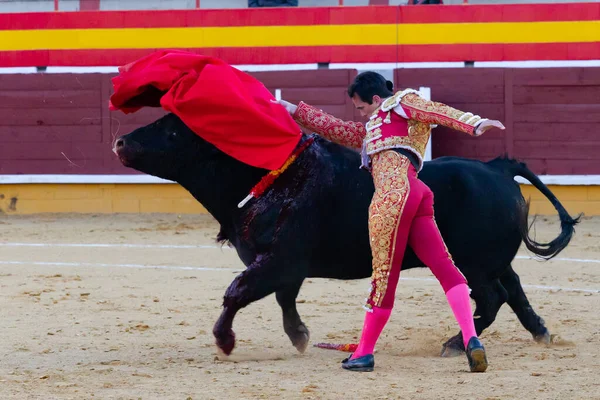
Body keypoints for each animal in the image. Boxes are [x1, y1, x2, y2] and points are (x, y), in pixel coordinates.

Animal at [115, 114, 580, 358]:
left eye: (173, 130)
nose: (120, 141)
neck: (273, 178)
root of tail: (498, 167)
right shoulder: (285, 265)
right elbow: (283, 298)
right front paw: (300, 337)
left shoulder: (280, 260)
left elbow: (237, 292)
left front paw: (225, 341)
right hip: (493, 260)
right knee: (514, 290)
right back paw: (540, 333)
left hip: (473, 263)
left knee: (491, 297)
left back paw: (453, 343)